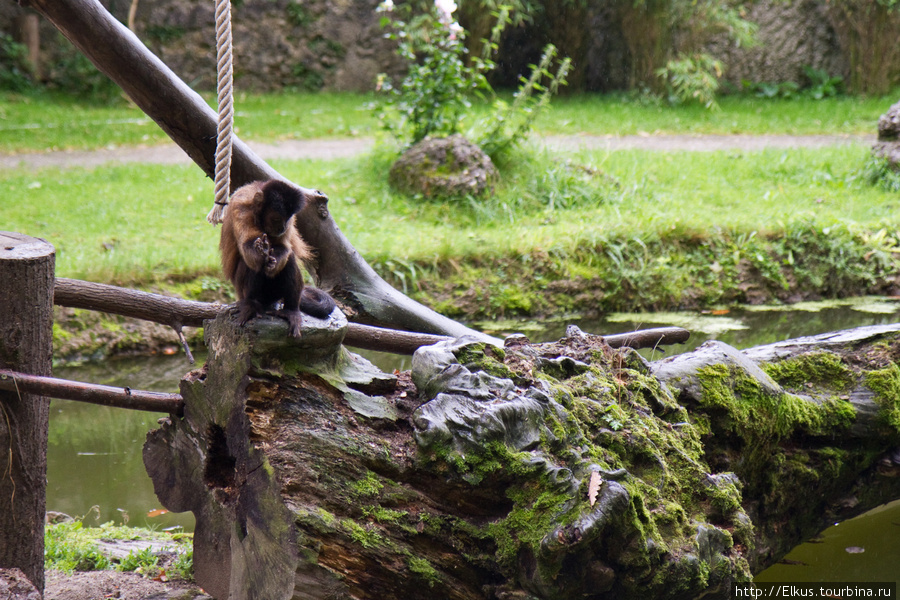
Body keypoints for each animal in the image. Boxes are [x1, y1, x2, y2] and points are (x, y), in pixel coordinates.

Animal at [220, 178, 336, 338]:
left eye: (287, 219)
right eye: (276, 219)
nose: (282, 227)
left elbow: (284, 248)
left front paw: (272, 264)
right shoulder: (241, 208)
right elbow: (248, 245)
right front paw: (262, 252)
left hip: (275, 293)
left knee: (289, 259)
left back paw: (291, 310)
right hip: (242, 292)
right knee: (252, 264)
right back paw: (251, 305)